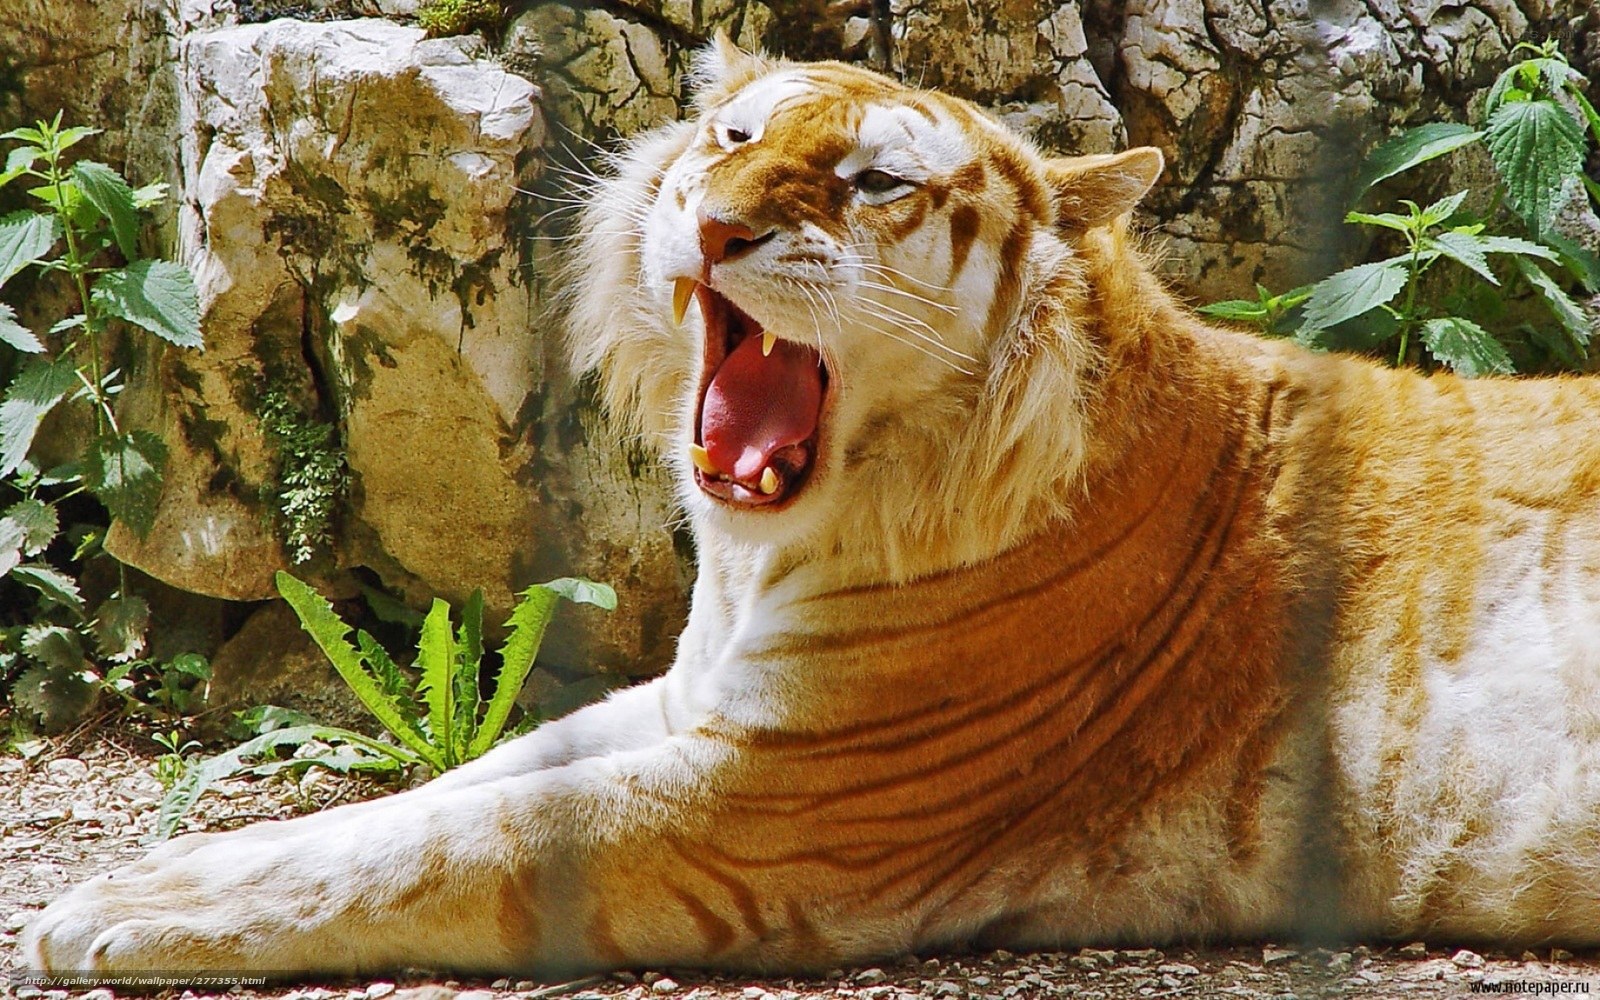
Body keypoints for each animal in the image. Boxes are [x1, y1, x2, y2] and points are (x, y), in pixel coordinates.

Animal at [26, 37, 1600, 978]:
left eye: (873, 180)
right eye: (730, 135)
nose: (717, 223)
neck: (766, 553)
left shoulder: (774, 803)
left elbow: (451, 841)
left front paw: (112, 910)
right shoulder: (694, 707)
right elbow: (441, 794)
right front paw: (168, 866)